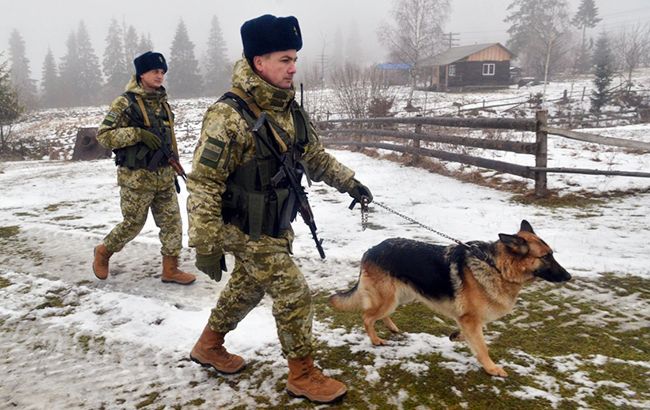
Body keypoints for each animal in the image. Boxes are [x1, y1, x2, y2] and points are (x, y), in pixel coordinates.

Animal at [330, 221, 568, 378]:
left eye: (552, 254)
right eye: (545, 256)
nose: (569, 277)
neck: (497, 267)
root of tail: (370, 250)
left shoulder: (469, 320)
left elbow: (471, 335)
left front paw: (457, 336)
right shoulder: (470, 319)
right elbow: (482, 347)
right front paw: (491, 368)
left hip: (401, 296)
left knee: (380, 315)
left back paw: (391, 327)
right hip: (388, 299)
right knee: (367, 317)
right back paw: (375, 339)